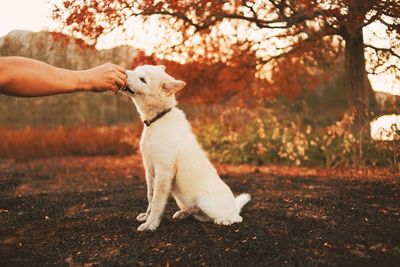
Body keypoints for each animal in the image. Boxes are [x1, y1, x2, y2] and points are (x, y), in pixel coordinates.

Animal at [125, 65, 250, 232]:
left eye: (143, 79)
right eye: (135, 69)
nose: (123, 73)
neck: (158, 119)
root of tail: (234, 206)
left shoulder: (163, 171)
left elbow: (157, 200)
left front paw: (151, 223)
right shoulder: (148, 170)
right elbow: (150, 197)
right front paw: (147, 216)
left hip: (206, 201)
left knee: (236, 218)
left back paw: (223, 219)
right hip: (182, 199)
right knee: (198, 214)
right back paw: (184, 213)